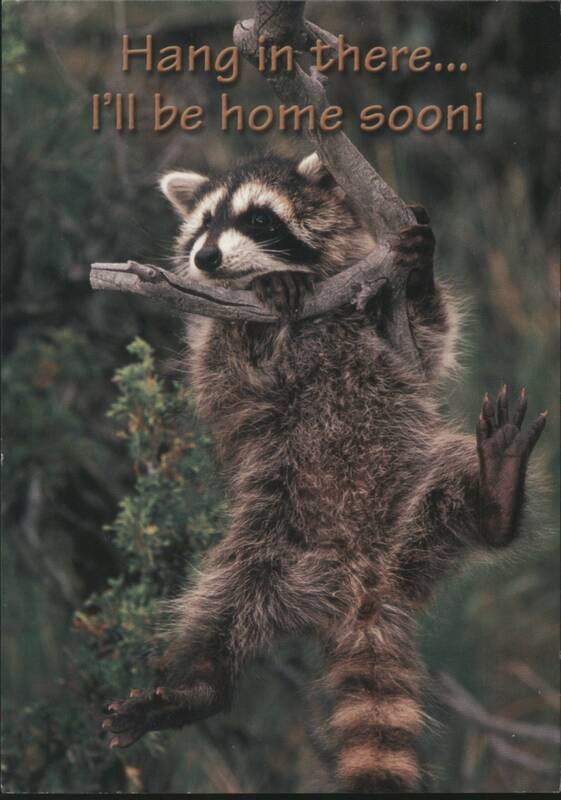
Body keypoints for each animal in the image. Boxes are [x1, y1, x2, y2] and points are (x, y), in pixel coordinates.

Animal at [103, 153, 546, 793]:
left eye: (259, 219)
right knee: (219, 606)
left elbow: (430, 338)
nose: (205, 259)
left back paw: (495, 498)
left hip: (420, 497)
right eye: (204, 223)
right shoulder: (217, 350)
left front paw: (419, 272)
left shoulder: (384, 330)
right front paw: (263, 295)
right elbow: (226, 369)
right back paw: (199, 683)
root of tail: (364, 585)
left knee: (458, 492)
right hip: (267, 540)